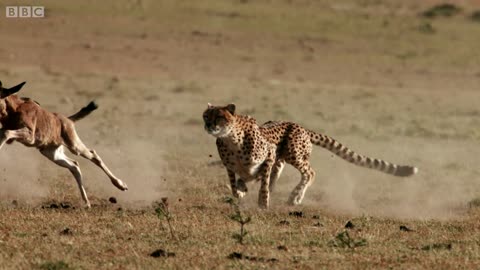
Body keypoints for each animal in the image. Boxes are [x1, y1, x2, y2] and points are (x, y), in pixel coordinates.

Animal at [202, 104, 416, 208]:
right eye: (206, 115)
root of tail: (300, 126)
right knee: (277, 176)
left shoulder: (269, 153)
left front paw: (263, 203)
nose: (208, 125)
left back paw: (295, 197)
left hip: (293, 153)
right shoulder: (231, 167)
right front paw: (240, 191)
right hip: (282, 160)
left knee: (310, 173)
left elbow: (261, 186)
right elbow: (235, 183)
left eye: (219, 116)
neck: (230, 138)